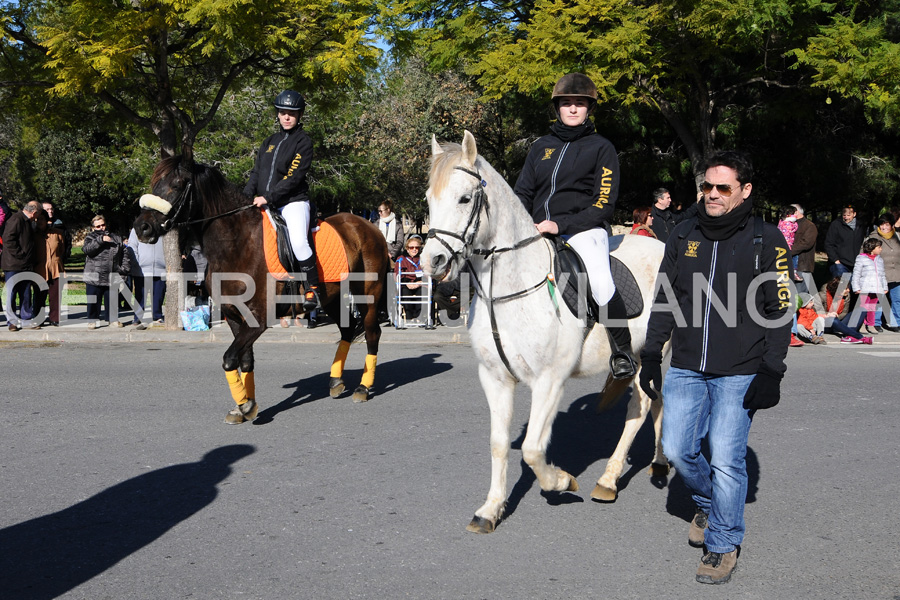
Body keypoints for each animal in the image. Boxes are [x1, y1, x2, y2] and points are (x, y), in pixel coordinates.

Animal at [133, 157, 386, 424]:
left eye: (178, 184)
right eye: (155, 182)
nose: (142, 227)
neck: (237, 244)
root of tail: (368, 226)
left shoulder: (258, 319)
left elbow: (229, 359)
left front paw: (244, 405)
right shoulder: (234, 317)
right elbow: (245, 361)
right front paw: (246, 405)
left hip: (368, 296)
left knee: (372, 334)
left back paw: (363, 387)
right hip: (331, 299)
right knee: (347, 330)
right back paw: (336, 381)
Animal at [426, 132, 672, 536]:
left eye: (464, 198)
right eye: (429, 200)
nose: (432, 262)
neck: (508, 289)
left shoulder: (549, 380)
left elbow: (531, 449)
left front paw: (561, 481)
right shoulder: (495, 378)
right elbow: (498, 443)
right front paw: (491, 509)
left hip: (656, 353)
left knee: (643, 404)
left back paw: (610, 478)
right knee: (653, 402)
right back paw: (656, 463)